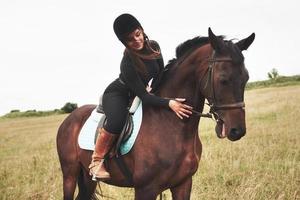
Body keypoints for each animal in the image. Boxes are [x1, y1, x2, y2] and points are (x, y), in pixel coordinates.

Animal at [56, 27, 255, 199]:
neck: (170, 123)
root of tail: (69, 119)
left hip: (87, 178)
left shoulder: (183, 184)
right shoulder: (146, 189)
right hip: (70, 174)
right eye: (223, 79)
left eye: (246, 78)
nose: (237, 131)